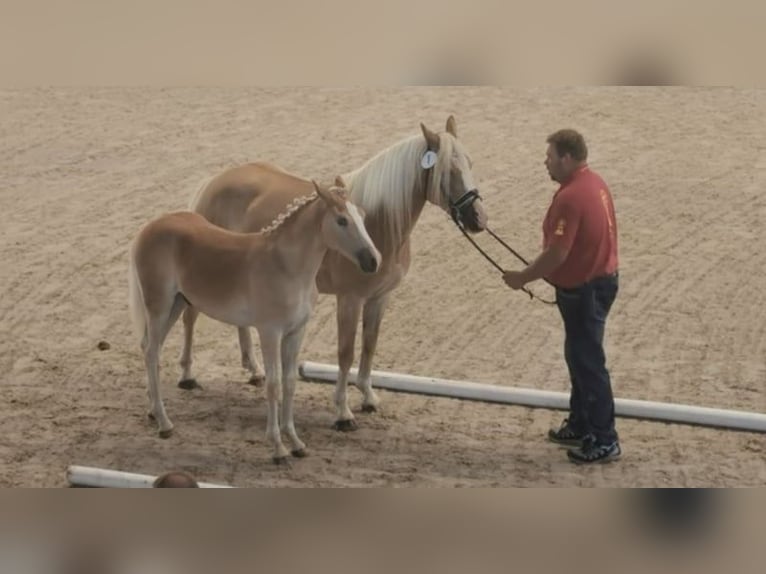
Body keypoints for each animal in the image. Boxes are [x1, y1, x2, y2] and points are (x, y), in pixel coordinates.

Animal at [128, 180, 381, 463]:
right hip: (159, 307)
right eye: (341, 220)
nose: (373, 261)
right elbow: (273, 384)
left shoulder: (296, 332)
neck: (287, 266)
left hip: (177, 304)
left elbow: (289, 383)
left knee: (150, 349)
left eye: (362, 215)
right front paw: (278, 447)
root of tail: (149, 228)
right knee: (152, 352)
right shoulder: (270, 332)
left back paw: (153, 411)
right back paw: (164, 423)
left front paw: (296, 443)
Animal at [181, 115, 487, 431]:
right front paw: (343, 412)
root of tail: (215, 181)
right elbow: (346, 352)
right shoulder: (350, 299)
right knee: (189, 316)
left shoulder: (379, 298)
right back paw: (188, 377)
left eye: (470, 163)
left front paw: (368, 398)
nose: (478, 218)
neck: (378, 223)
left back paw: (254, 371)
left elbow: (369, 346)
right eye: (448, 170)